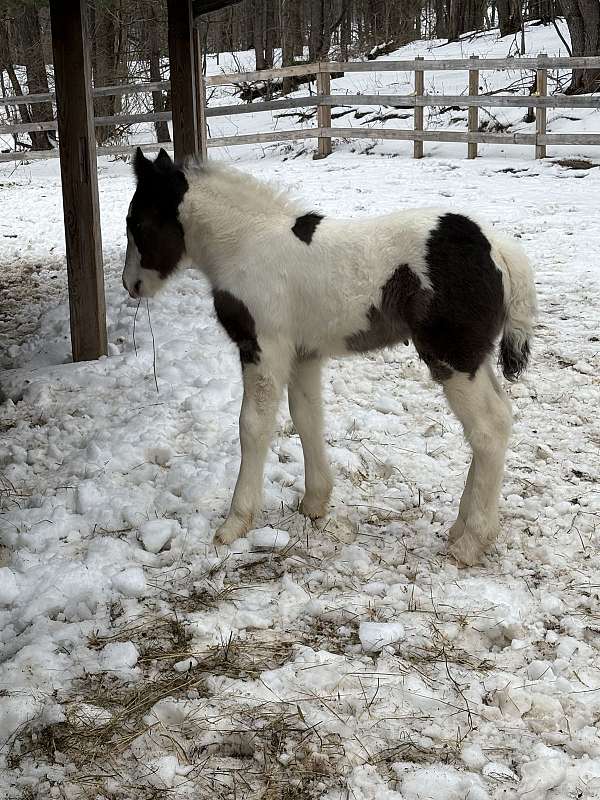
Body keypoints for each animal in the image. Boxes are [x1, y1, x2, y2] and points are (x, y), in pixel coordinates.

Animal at [124, 147, 536, 564]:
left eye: (137, 222)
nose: (131, 285)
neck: (245, 242)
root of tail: (498, 247)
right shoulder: (304, 354)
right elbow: (306, 418)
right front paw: (314, 502)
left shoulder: (263, 349)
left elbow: (252, 426)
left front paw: (235, 522)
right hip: (474, 358)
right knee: (499, 419)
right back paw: (460, 528)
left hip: (452, 357)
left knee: (487, 428)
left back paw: (471, 542)